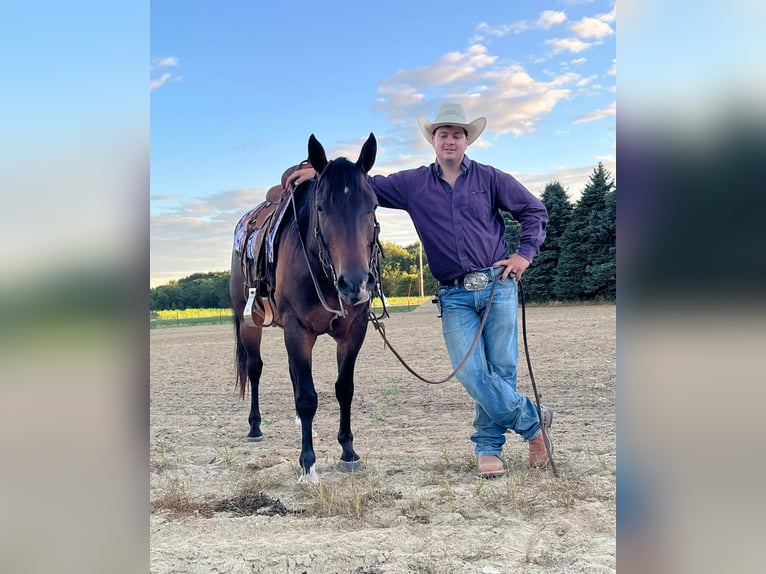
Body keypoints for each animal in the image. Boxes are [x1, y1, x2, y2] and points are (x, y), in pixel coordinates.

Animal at [230, 133, 382, 484]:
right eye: (321, 207)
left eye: (372, 205)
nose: (355, 283)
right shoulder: (297, 330)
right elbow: (308, 397)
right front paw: (308, 463)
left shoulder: (354, 331)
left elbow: (343, 388)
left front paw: (348, 451)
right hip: (249, 323)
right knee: (255, 368)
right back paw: (255, 427)